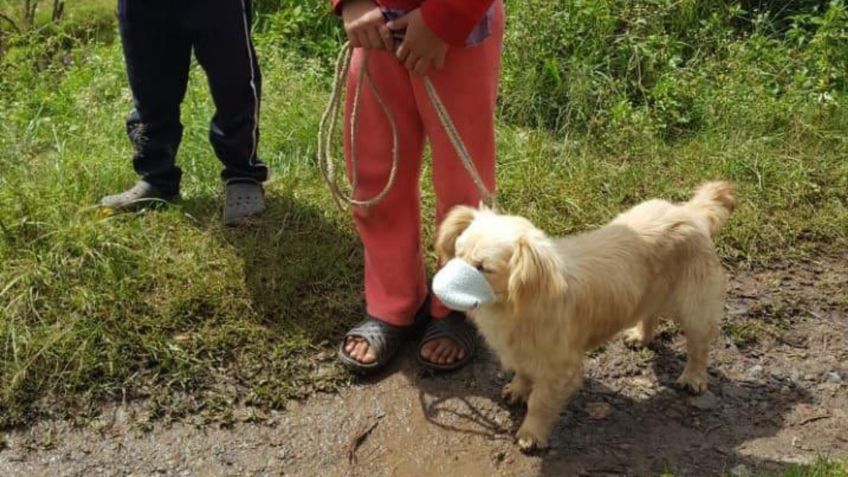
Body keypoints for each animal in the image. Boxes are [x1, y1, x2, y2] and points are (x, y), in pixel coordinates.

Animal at [434, 181, 732, 450]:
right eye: (457, 253)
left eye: (483, 267)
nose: (439, 285)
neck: (513, 307)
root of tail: (691, 214)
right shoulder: (521, 351)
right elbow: (523, 373)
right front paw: (518, 389)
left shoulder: (560, 369)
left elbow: (540, 402)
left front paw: (531, 434)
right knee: (651, 313)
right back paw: (640, 336)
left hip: (695, 307)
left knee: (699, 346)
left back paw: (693, 378)